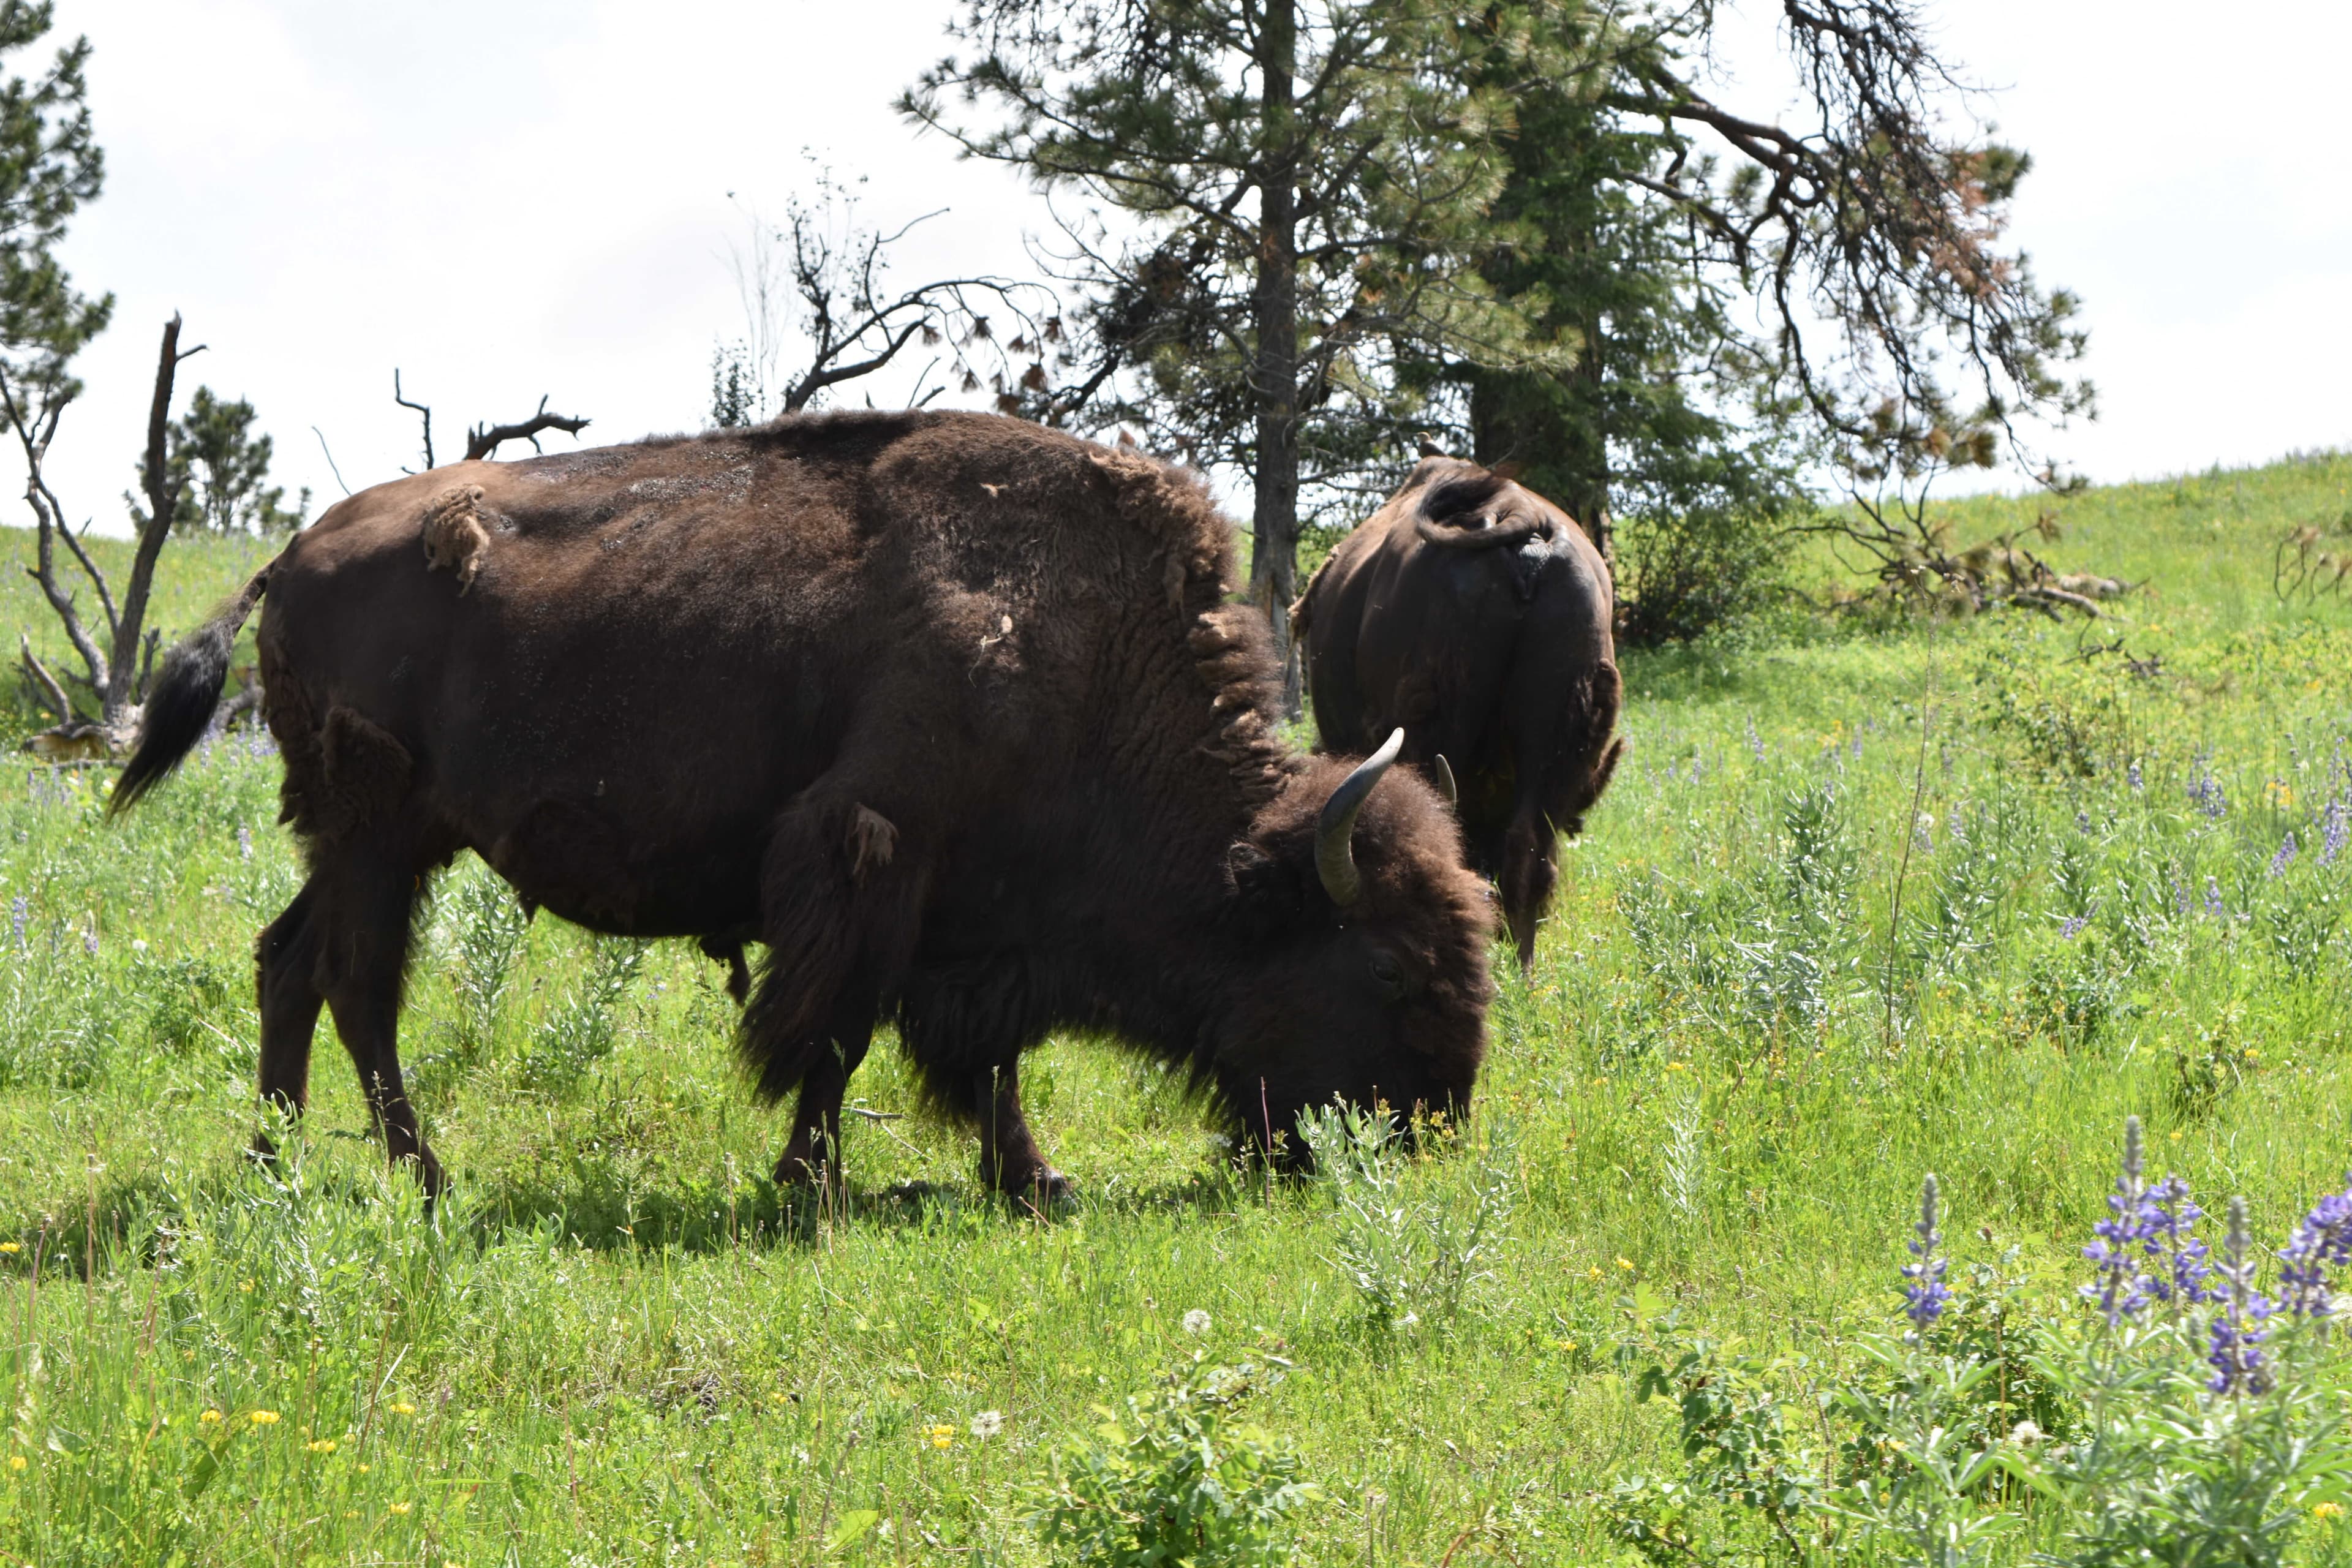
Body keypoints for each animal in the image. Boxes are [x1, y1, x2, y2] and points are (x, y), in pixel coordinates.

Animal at [116, 412, 1494, 1198]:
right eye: (1385, 968)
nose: (1431, 1126)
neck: (1087, 651)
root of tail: (289, 558)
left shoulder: (973, 917)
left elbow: (982, 1056)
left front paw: (1034, 1179)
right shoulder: (874, 860)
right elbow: (836, 1035)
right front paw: (809, 1187)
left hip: (367, 841)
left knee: (290, 962)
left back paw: (278, 1161)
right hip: (378, 835)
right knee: (358, 983)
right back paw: (424, 1174)